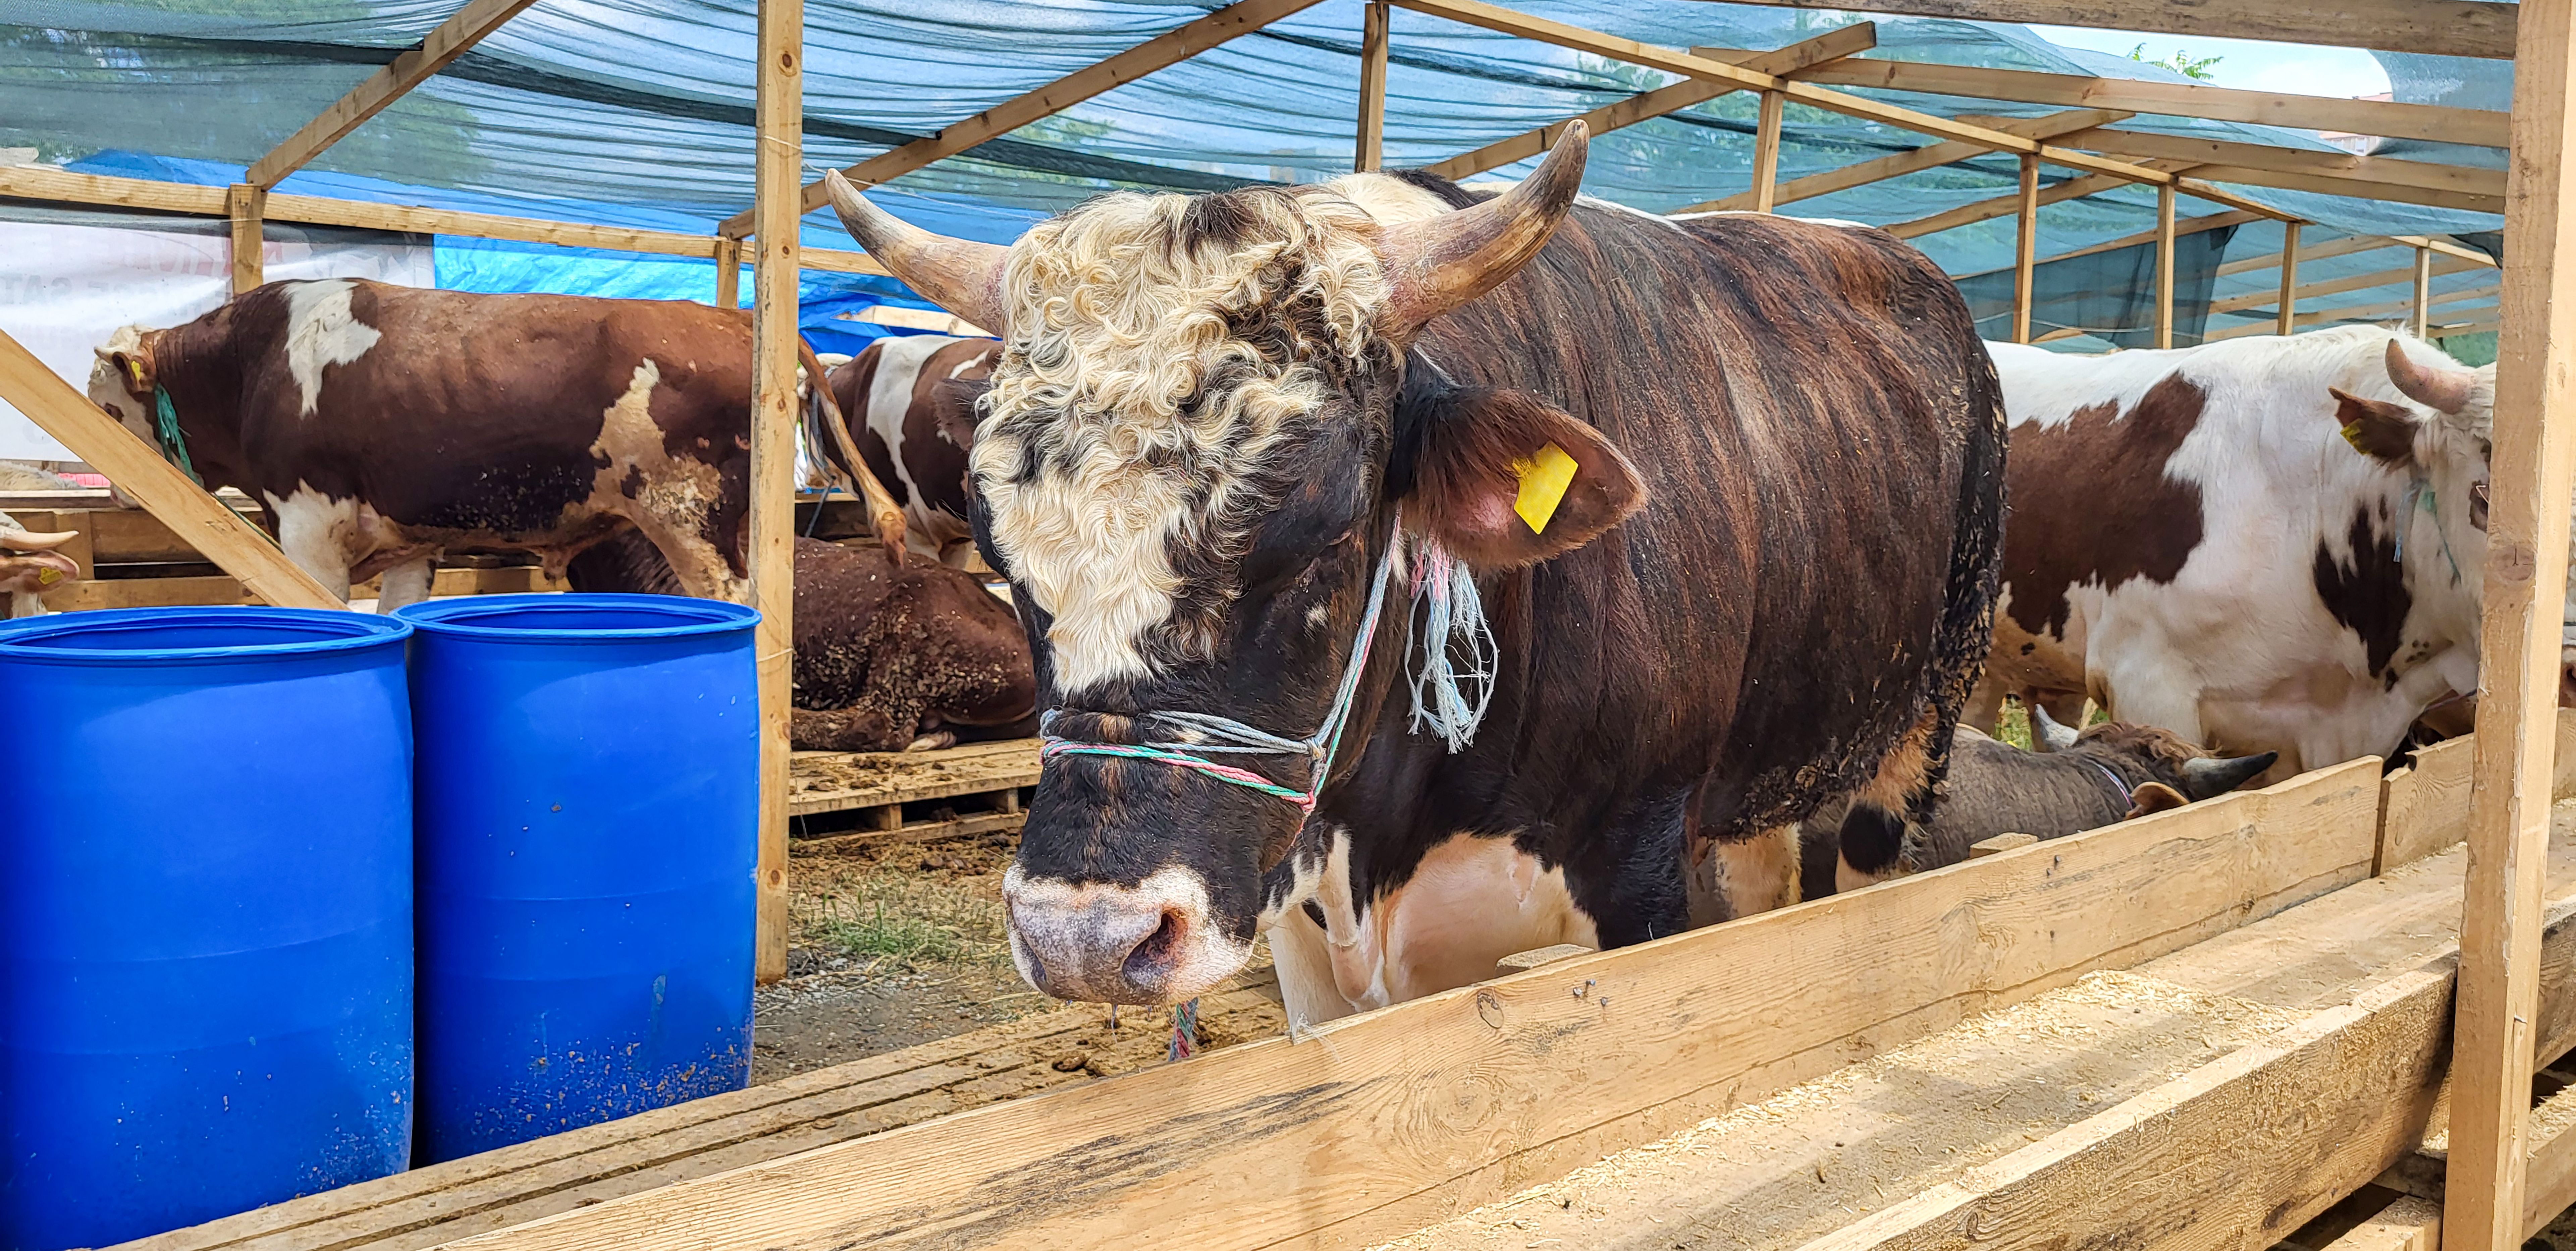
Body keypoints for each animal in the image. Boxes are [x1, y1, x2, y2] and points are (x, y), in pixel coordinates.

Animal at [85, 281, 895, 613]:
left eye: (105, 405)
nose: (117, 487)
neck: (255, 361)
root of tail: (735, 320)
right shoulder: (410, 539)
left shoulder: (310, 526)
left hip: (691, 522)